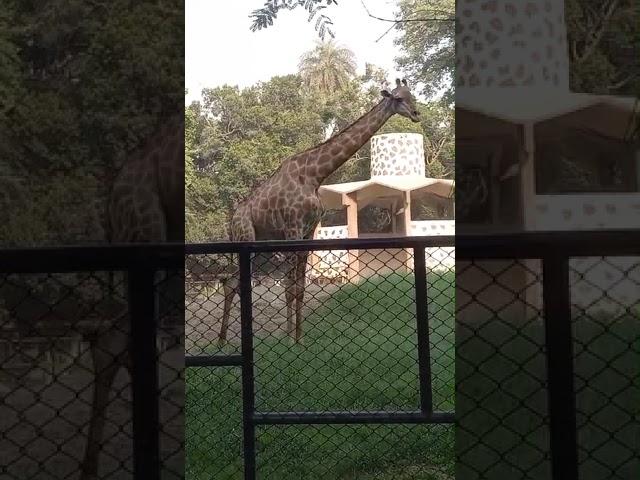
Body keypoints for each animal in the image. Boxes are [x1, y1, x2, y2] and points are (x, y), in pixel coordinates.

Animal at [220, 79, 420, 344]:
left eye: (412, 95)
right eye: (398, 98)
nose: (416, 114)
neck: (315, 176)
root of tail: (232, 220)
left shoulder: (308, 231)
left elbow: (300, 287)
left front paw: (300, 339)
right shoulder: (293, 229)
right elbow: (289, 286)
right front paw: (289, 339)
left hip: (259, 241)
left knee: (232, 282)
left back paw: (224, 340)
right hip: (246, 236)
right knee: (233, 282)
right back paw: (224, 340)